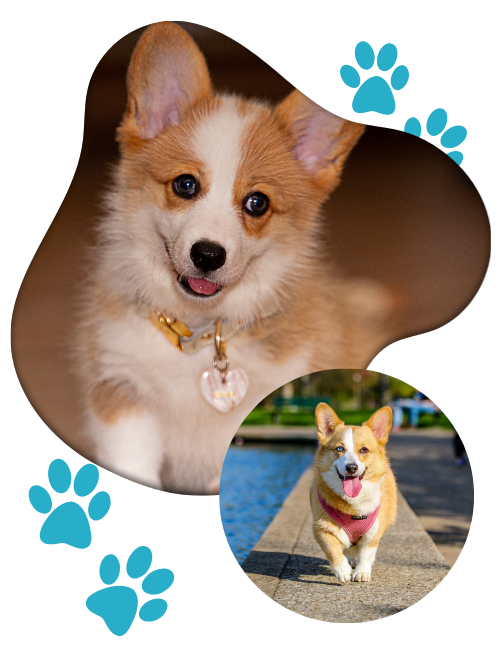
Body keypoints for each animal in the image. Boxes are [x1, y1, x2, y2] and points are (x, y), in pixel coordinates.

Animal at [310, 402, 396, 580]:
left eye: (364, 450)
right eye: (339, 448)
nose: (351, 467)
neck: (353, 503)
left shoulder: (374, 532)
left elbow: (366, 553)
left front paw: (362, 572)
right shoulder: (321, 528)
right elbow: (332, 549)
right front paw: (342, 570)